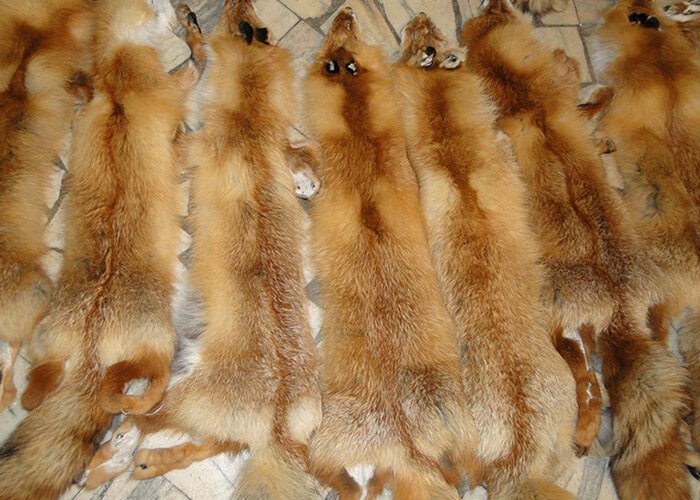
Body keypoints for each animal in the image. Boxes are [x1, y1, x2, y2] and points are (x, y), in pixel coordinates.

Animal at [0, 0, 202, 497]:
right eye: (160, 4)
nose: (184, 8)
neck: (115, 74)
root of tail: (93, 340)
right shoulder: (171, 87)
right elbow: (194, 66)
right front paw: (194, 37)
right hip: (159, 343)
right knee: (139, 391)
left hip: (46, 347)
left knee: (32, 394)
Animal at [83, 1, 322, 498]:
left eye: (244, 20)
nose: (226, 4)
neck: (249, 125)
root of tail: (278, 423)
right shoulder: (278, 146)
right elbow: (300, 153)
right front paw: (305, 179)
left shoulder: (191, 148)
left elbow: (181, 119)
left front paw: (189, 38)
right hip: (214, 423)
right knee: (197, 447)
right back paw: (146, 465)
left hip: (178, 395)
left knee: (142, 421)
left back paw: (107, 462)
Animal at [302, 8, 477, 499]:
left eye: (342, 32)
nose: (345, 10)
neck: (359, 127)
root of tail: (402, 440)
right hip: (454, 430)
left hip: (328, 442)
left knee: (331, 473)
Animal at [462, 1, 690, 499]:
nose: (492, 4)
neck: (524, 96)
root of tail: (616, 301)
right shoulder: (566, 109)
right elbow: (590, 108)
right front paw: (599, 126)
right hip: (603, 329)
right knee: (618, 373)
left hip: (560, 330)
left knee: (589, 388)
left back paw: (584, 437)